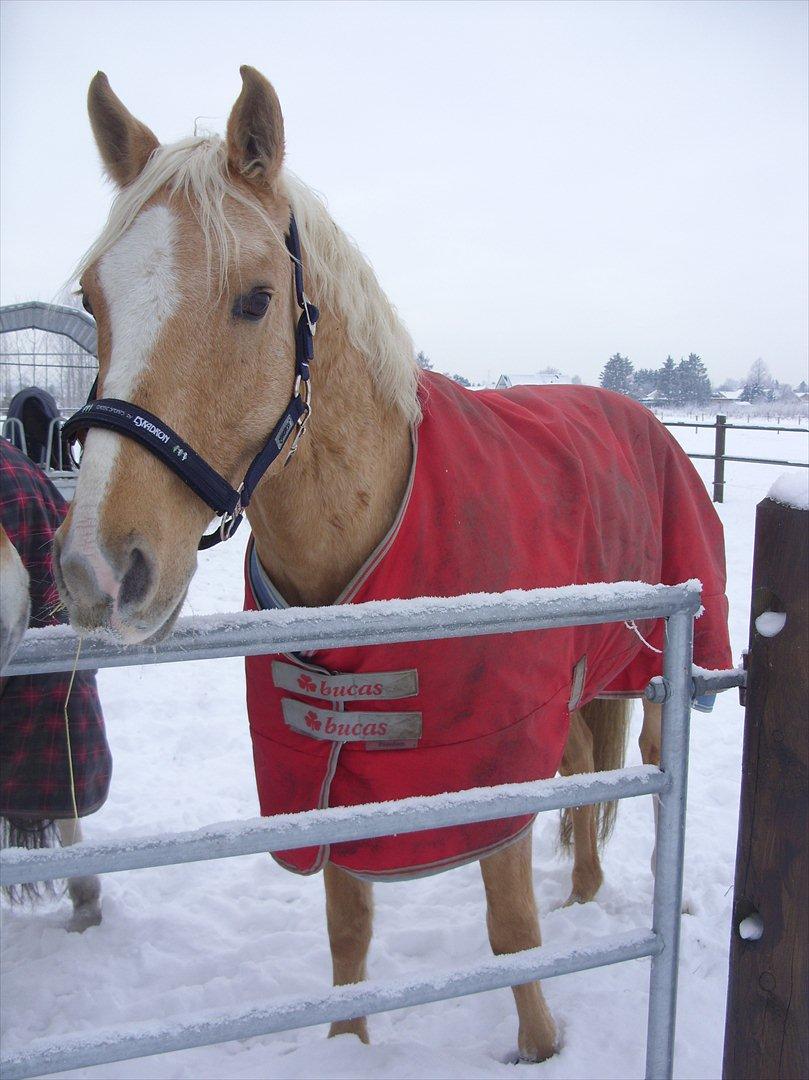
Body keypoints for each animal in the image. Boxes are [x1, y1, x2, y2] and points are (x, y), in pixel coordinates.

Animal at [53, 69, 730, 1062]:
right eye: (95, 300)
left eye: (255, 298)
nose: (98, 570)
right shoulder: (328, 770)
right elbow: (349, 927)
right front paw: (347, 1043)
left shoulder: (489, 761)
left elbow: (509, 929)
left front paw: (539, 1047)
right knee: (582, 775)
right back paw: (584, 891)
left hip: (659, 674)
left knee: (643, 766)